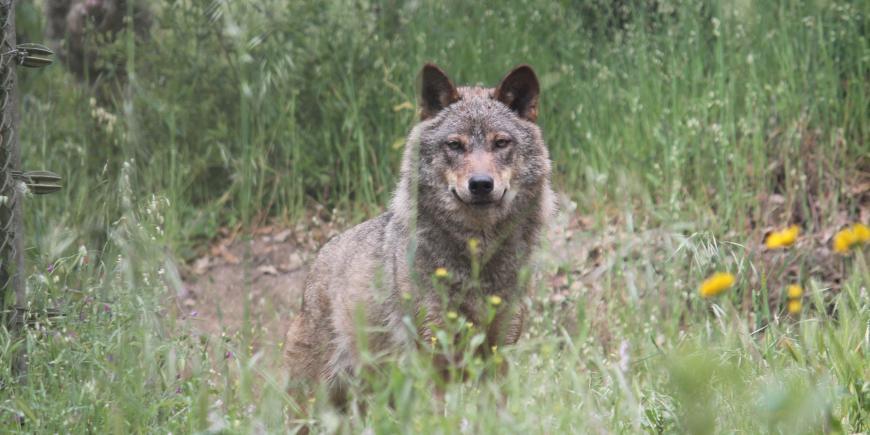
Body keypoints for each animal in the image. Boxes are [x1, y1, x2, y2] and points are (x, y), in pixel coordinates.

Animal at [285, 64, 554, 401]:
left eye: (500, 143)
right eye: (455, 145)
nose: (481, 184)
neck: (476, 257)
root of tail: (320, 258)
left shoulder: (498, 358)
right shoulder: (432, 360)